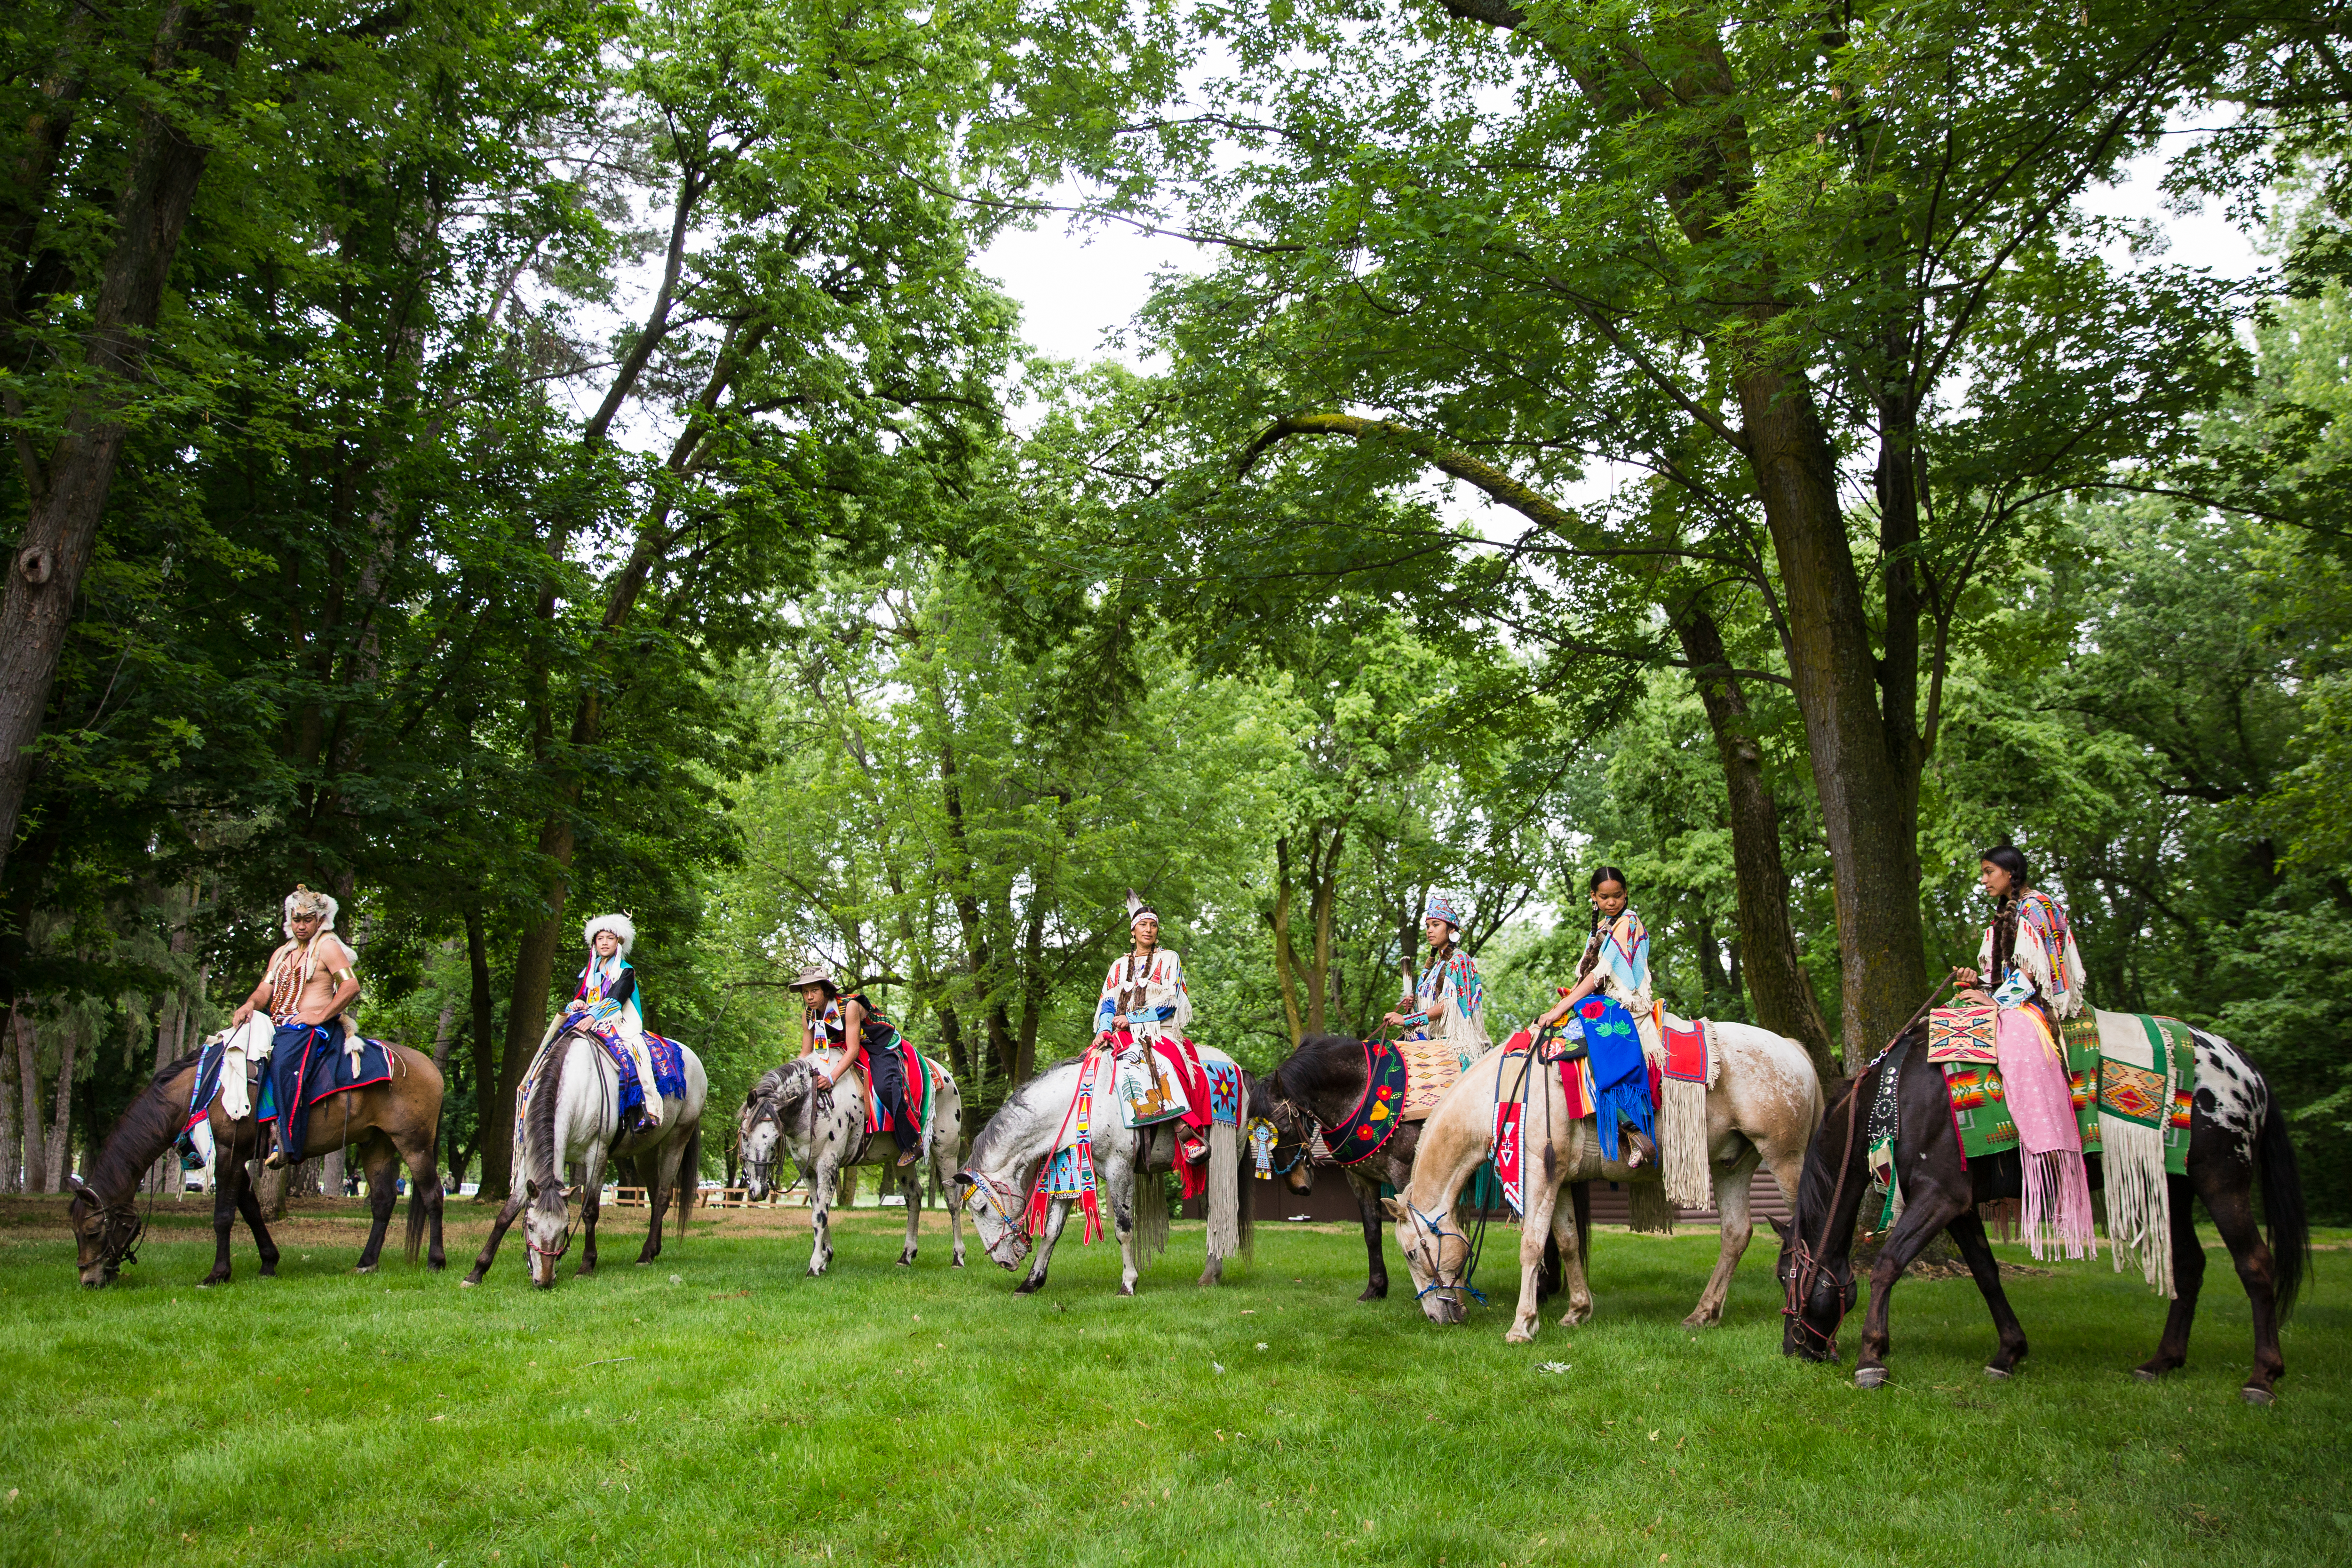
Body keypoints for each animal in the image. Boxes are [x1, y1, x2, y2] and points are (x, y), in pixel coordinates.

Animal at [67, 1043, 449, 1288]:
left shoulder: (228, 1153)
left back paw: (436, 1260)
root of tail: (430, 1067)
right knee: (383, 1201)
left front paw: (218, 1274)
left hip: (413, 1145)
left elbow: (224, 1216)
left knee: (433, 1195)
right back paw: (367, 1262)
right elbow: (250, 1209)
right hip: (376, 1144)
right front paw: (268, 1261)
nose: (89, 1280)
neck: (205, 1088)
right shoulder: (237, 1159)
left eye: (92, 1232)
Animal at [461, 1025, 706, 1297]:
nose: (544, 1281)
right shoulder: (526, 1164)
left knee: (663, 1197)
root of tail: (691, 1056)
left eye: (564, 1228)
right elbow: (506, 1214)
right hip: (646, 1150)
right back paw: (653, 1250)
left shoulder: (596, 1156)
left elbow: (590, 1211)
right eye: (531, 1226)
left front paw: (587, 1264)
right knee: (654, 1198)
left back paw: (644, 1256)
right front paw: (477, 1272)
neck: (576, 1085)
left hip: (678, 1138)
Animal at [729, 1053, 960, 1279]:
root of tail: (945, 1075)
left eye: (776, 1138)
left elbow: (820, 1215)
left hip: (946, 1152)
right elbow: (818, 1208)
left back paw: (958, 1258)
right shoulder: (808, 1170)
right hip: (901, 1160)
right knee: (914, 1197)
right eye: (744, 1136)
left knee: (952, 1200)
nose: (759, 1191)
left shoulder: (828, 1164)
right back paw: (906, 1256)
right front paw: (826, 1257)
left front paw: (815, 1265)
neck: (813, 1104)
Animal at [950, 1048, 1261, 1297]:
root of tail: (1238, 1068)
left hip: (1225, 1158)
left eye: (980, 1209)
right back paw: (1212, 1272)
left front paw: (1129, 1283)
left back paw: (1210, 1274)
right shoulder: (1069, 1173)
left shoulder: (1119, 1169)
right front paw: (1031, 1283)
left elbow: (1123, 1229)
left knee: (1221, 1212)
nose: (1002, 1262)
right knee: (1212, 1213)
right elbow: (1051, 1233)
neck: (1077, 1106)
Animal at [1778, 1011, 2314, 1401]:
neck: (1900, 1094)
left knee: (2254, 1265)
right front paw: (2008, 1353)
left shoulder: (1940, 1194)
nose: (1793, 1349)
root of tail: (2246, 1070)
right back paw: (2161, 1361)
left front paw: (1872, 1357)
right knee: (2189, 1264)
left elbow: (1889, 1264)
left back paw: (2261, 1378)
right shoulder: (1961, 1206)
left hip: (2221, 1180)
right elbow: (1986, 1274)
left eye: (1787, 1278)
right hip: (2176, 1185)